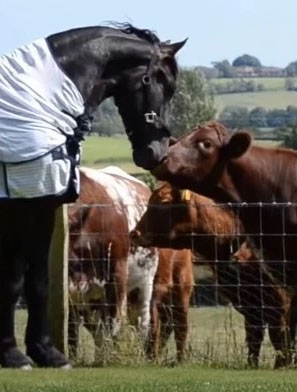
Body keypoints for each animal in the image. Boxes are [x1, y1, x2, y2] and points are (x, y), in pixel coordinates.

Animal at [0, 23, 185, 368]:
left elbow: (30, 280)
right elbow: (25, 278)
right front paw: (22, 354)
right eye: (165, 85)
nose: (157, 152)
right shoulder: (30, 205)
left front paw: (38, 351)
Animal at [131, 184, 292, 368]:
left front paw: (282, 366)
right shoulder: (252, 309)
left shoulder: (280, 306)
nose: (134, 233)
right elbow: (254, 341)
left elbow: (280, 340)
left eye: (164, 201)